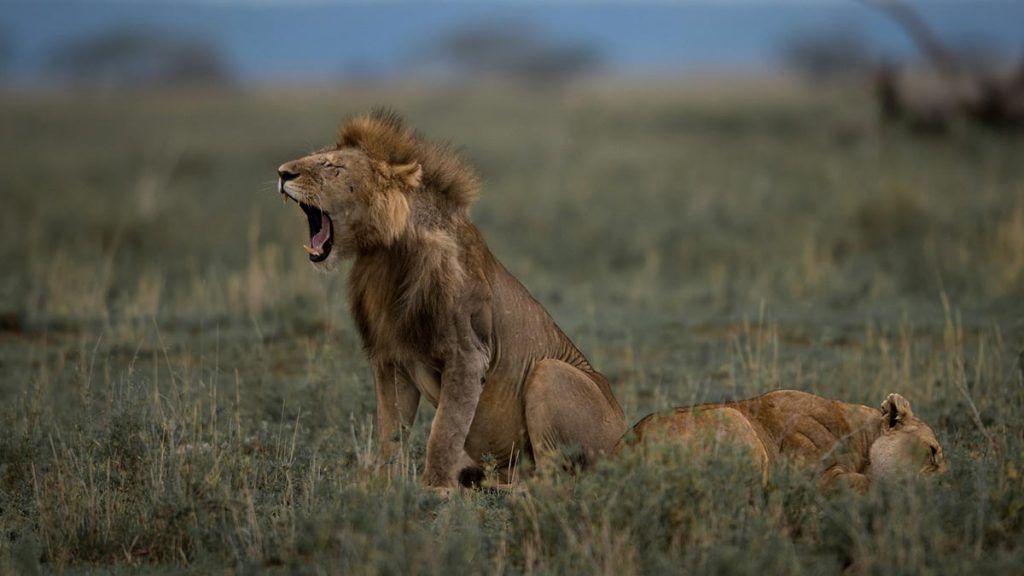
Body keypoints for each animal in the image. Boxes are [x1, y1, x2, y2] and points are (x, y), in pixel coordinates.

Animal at [276, 110, 627, 488]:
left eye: (331, 166)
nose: (282, 173)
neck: (385, 256)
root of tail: (626, 442)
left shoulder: (468, 354)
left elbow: (443, 432)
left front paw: (434, 489)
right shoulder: (390, 359)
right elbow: (391, 432)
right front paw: (384, 487)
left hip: (550, 372)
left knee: (552, 480)